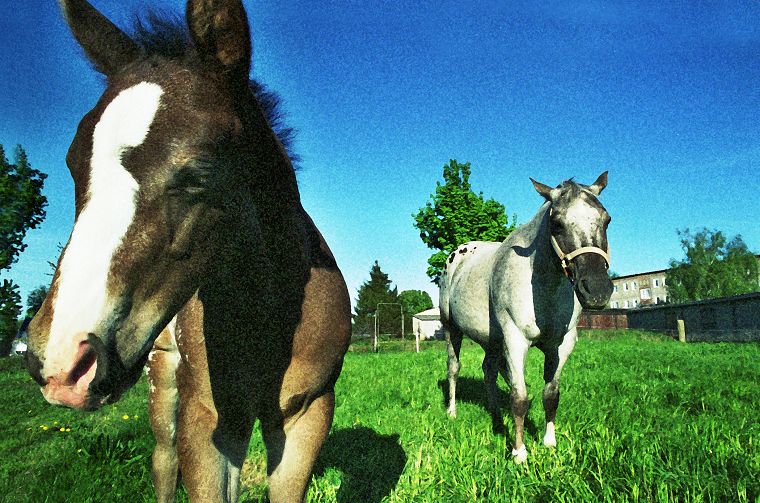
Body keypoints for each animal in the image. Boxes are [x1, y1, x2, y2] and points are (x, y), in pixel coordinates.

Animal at [25, 1, 352, 502]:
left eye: (200, 171)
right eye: (73, 163)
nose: (62, 362)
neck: (265, 317)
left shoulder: (307, 414)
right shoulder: (210, 418)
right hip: (161, 376)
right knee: (163, 460)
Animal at [440, 173, 612, 464]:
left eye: (606, 219)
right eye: (557, 223)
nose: (597, 290)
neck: (544, 289)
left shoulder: (561, 345)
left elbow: (551, 394)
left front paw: (549, 442)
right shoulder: (515, 340)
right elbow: (519, 397)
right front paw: (519, 453)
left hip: (491, 341)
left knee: (488, 371)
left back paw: (497, 418)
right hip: (452, 329)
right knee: (454, 368)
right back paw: (452, 412)